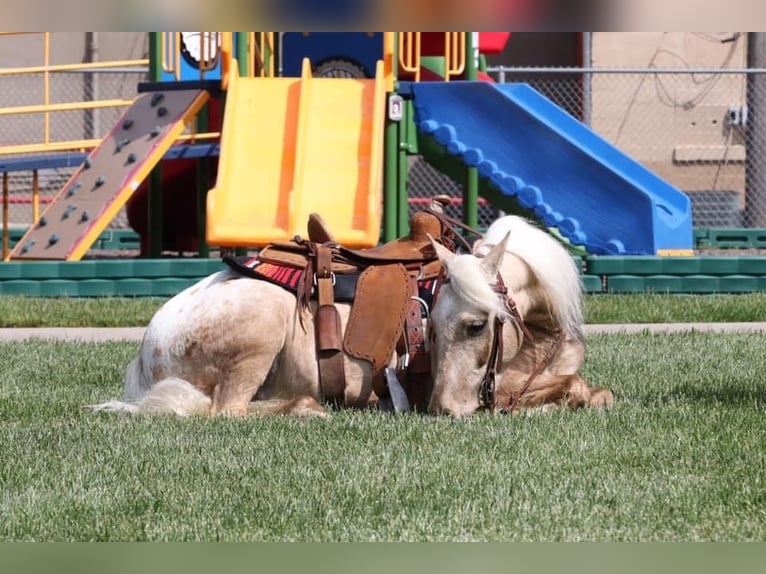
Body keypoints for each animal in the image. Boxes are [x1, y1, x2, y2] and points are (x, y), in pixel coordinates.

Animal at [90, 212, 616, 418]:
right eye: (433, 328)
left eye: (475, 325)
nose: (442, 409)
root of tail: (148, 349)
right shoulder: (501, 387)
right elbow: (572, 387)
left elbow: (591, 389)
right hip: (258, 332)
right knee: (227, 411)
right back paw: (307, 409)